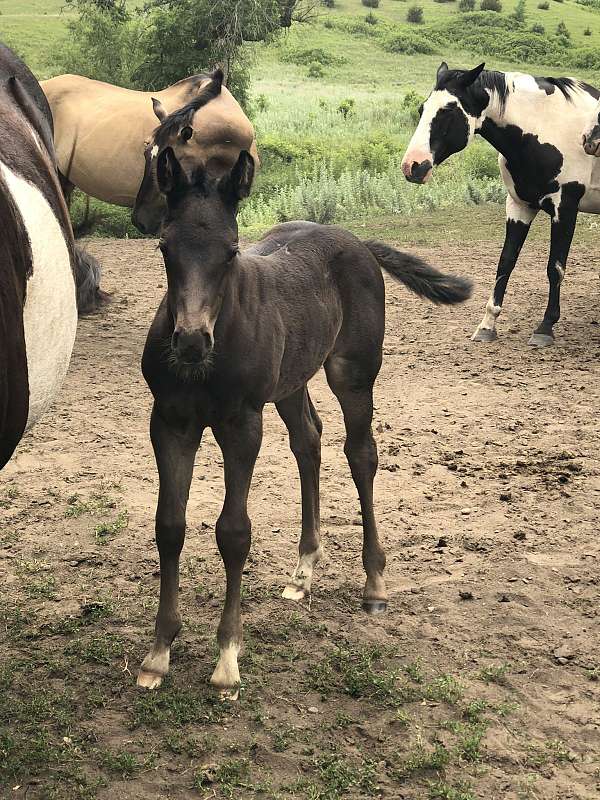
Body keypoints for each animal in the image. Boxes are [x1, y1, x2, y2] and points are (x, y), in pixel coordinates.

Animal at [136, 146, 473, 698]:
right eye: (166, 247)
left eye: (230, 251)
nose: (190, 341)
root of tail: (357, 242)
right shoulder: (169, 422)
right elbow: (169, 525)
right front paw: (159, 653)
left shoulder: (242, 425)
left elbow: (234, 532)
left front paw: (227, 660)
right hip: (292, 381)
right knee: (308, 441)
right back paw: (303, 569)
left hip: (352, 373)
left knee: (360, 455)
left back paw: (374, 585)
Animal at [402, 62, 600, 347]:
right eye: (422, 108)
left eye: (448, 110)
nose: (412, 166)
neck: (544, 127)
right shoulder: (519, 206)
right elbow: (506, 262)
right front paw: (487, 325)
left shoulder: (564, 209)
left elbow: (555, 268)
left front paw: (545, 327)